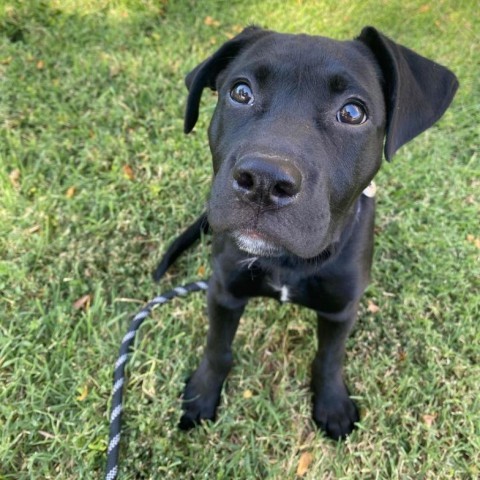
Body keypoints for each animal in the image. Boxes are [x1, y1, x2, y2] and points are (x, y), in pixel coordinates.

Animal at [154, 25, 458, 438]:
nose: (263, 181)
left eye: (352, 112)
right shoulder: (223, 290)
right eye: (241, 92)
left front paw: (332, 404)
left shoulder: (341, 309)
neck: (289, 262)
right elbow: (217, 347)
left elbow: (329, 358)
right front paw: (202, 393)